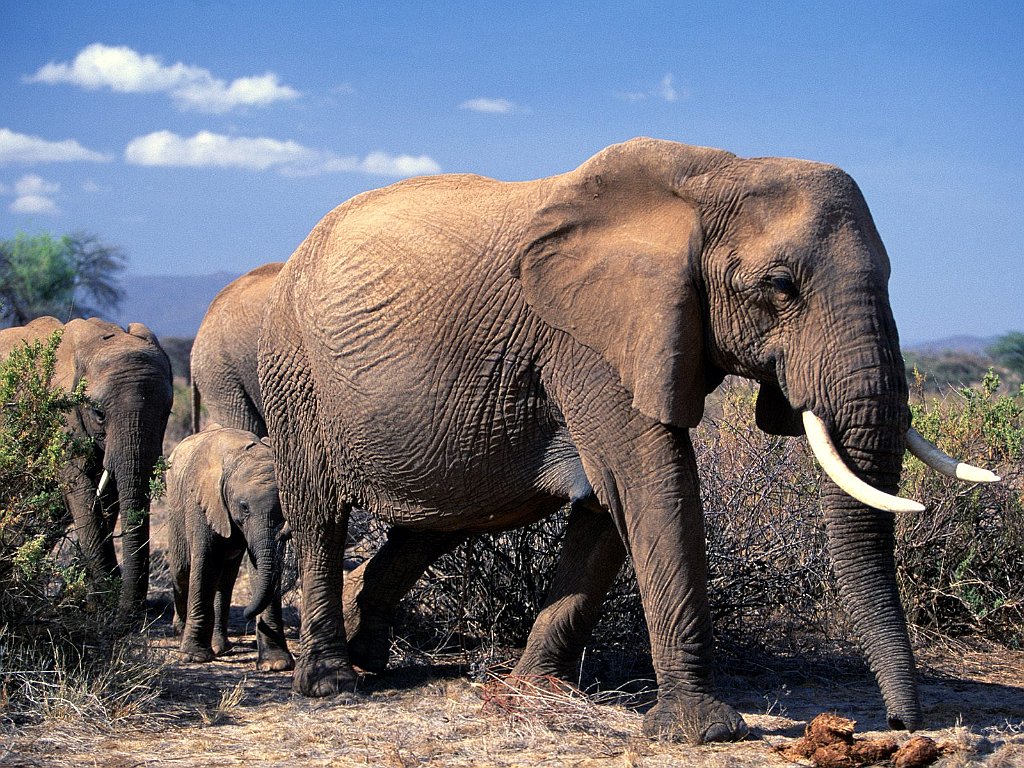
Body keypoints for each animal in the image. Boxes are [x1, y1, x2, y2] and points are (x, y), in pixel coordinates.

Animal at [0, 315, 172, 618]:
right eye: (99, 413)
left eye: (166, 412)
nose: (129, 613)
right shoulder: (64, 418)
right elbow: (81, 492)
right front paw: (104, 602)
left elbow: (109, 494)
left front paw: (95, 602)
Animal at [163, 423, 292, 671]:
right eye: (244, 507)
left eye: (284, 508)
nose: (246, 613)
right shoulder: (202, 503)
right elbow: (205, 564)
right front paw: (194, 657)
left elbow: (259, 569)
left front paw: (276, 664)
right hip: (174, 508)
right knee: (182, 571)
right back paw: (179, 635)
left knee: (225, 580)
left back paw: (220, 647)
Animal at [253, 138, 991, 745]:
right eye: (780, 287)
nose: (900, 726)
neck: (711, 174)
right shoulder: (587, 339)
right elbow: (651, 481)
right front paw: (702, 731)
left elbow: (609, 505)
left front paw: (527, 694)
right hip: (295, 376)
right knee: (320, 517)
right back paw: (330, 687)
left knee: (439, 522)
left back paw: (369, 655)